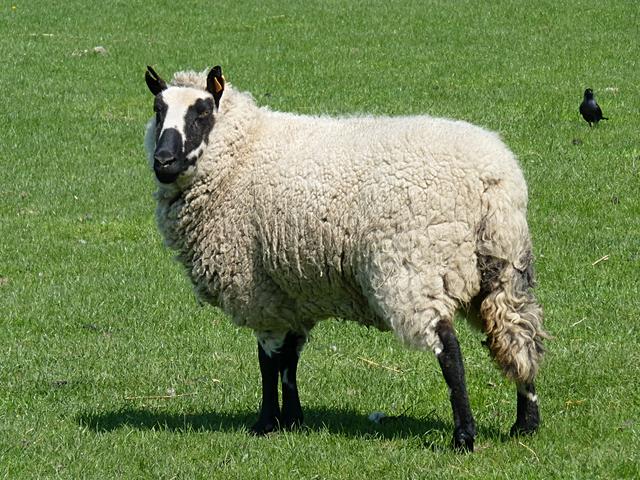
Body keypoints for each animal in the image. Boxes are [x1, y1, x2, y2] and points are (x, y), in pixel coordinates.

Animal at [143, 65, 549, 452]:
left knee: (449, 350)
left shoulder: (258, 292)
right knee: (518, 336)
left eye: (202, 113)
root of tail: (493, 178)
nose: (163, 160)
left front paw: (266, 423)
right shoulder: (292, 292)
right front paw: (293, 420)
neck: (242, 152)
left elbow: (268, 361)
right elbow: (289, 359)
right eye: (158, 110)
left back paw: (463, 437)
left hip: (415, 265)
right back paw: (525, 423)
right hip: (502, 264)